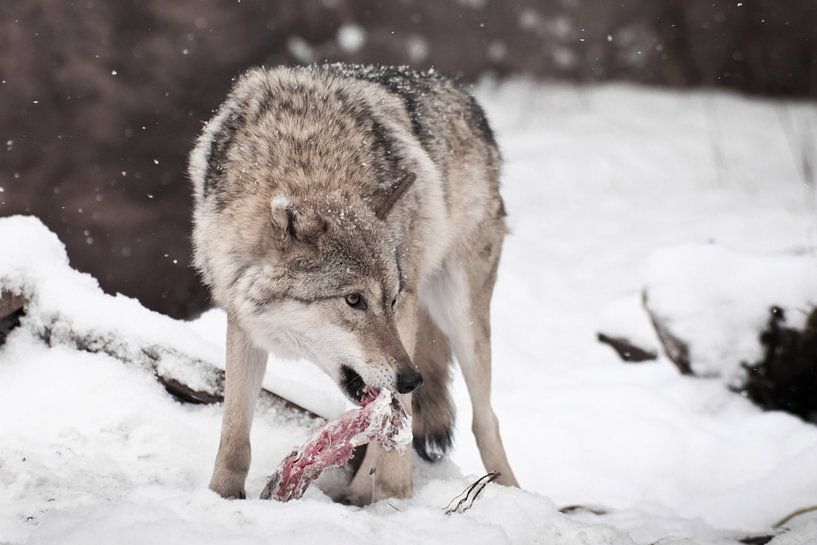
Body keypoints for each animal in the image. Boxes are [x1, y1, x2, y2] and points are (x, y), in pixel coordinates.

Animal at [188, 63, 519, 504]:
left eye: (389, 300)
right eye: (354, 299)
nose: (412, 379)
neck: (308, 159)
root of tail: (463, 93)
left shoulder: (407, 309)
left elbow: (397, 435)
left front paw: (395, 502)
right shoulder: (243, 323)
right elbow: (234, 434)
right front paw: (221, 497)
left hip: (460, 315)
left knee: (485, 419)